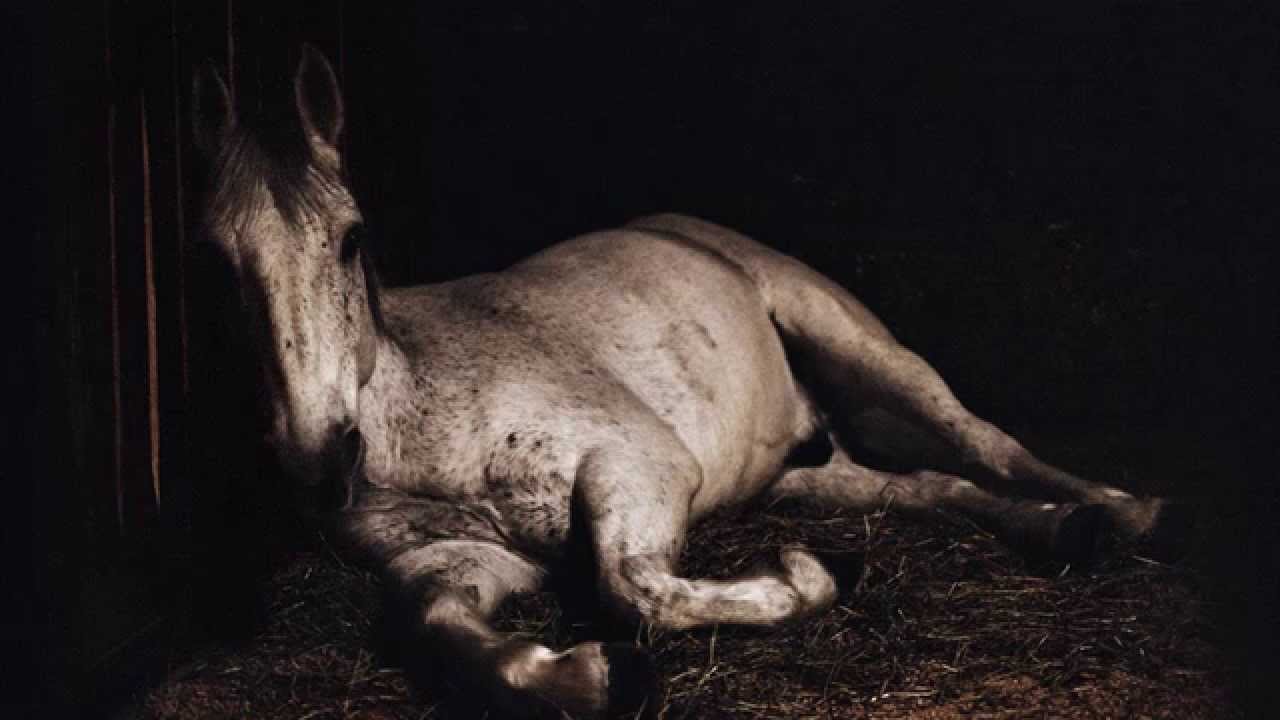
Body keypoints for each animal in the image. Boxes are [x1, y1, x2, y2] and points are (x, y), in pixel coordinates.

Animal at [193, 45, 1187, 718]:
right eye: (218, 262)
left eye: (351, 237)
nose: (317, 456)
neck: (415, 420)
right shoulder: (472, 554)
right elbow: (429, 617)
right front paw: (583, 674)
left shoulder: (638, 467)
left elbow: (632, 587)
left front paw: (808, 575)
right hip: (803, 469)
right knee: (928, 486)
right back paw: (1061, 530)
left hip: (863, 347)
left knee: (984, 441)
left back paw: (1119, 510)